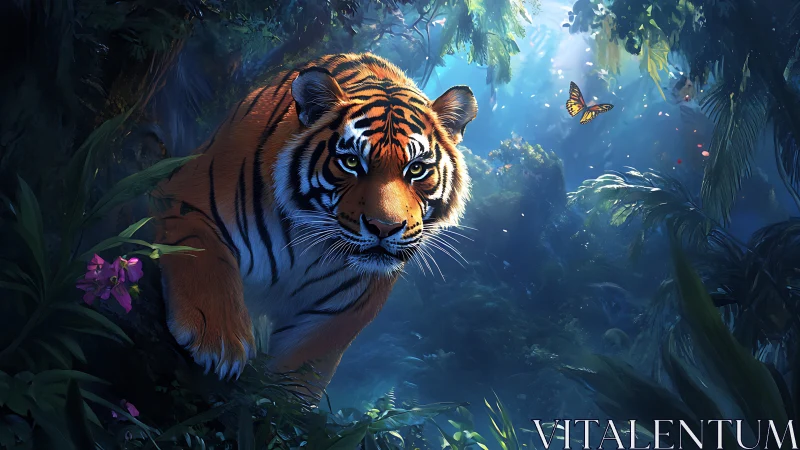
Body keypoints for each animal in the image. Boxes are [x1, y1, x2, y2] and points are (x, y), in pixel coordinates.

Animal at [151, 53, 477, 399]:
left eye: (416, 169)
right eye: (351, 162)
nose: (384, 228)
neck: (312, 244)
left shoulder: (346, 308)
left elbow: (301, 365)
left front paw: (280, 397)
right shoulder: (185, 196)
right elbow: (203, 255)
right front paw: (219, 341)